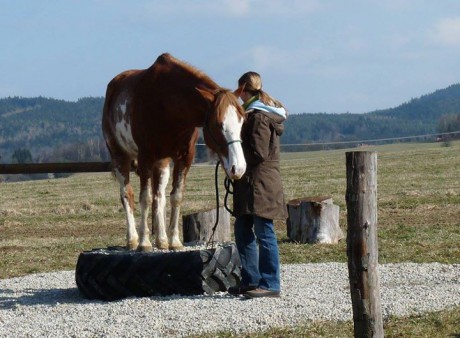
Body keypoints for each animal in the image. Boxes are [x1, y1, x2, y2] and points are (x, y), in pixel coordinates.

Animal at [103, 52, 248, 251]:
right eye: (218, 124)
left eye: (242, 121)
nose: (238, 168)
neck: (167, 102)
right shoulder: (145, 158)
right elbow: (145, 198)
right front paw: (144, 243)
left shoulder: (185, 158)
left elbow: (175, 197)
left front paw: (174, 242)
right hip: (120, 156)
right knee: (128, 195)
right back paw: (133, 239)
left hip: (162, 163)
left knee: (159, 198)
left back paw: (162, 240)